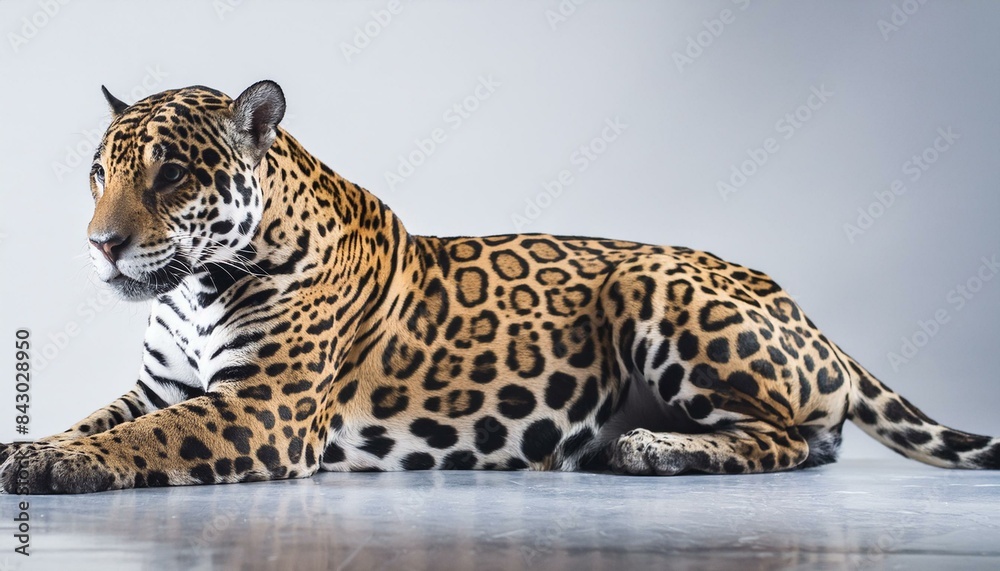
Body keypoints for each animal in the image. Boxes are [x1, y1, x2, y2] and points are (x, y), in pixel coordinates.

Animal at [1, 81, 997, 494]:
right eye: (99, 173)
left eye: (170, 174)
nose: (100, 245)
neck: (196, 290)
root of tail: (804, 310)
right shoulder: (158, 382)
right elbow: (102, 416)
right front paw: (32, 445)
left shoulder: (262, 408)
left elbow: (145, 438)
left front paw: (56, 465)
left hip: (654, 282)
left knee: (793, 437)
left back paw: (655, 450)